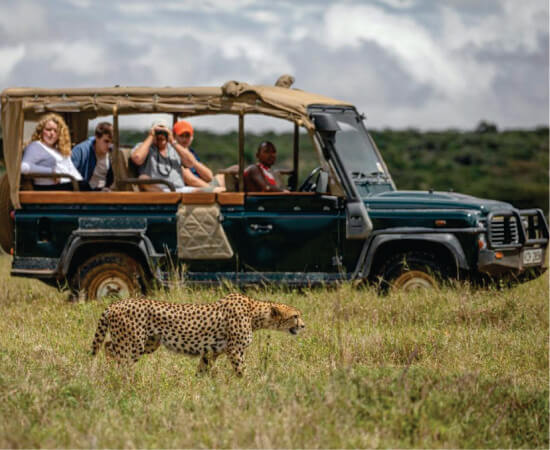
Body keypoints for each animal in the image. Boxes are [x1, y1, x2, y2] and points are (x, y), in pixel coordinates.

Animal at [91, 292, 306, 376]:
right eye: (295, 316)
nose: (304, 326)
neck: (255, 313)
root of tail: (115, 303)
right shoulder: (235, 350)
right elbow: (241, 370)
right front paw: (250, 386)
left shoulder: (211, 352)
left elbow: (202, 370)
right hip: (133, 343)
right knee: (115, 354)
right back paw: (117, 377)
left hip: (149, 343)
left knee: (108, 346)